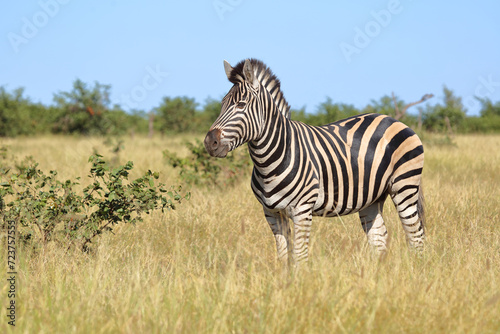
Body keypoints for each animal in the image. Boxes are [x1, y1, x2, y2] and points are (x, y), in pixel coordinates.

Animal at [203, 59, 426, 264]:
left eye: (240, 105)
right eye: (222, 104)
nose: (209, 142)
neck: (271, 160)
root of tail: (393, 120)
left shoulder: (302, 210)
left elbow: (300, 256)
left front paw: (299, 282)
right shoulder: (272, 212)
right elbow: (283, 256)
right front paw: (282, 281)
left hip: (404, 186)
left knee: (416, 237)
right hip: (372, 197)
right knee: (379, 239)